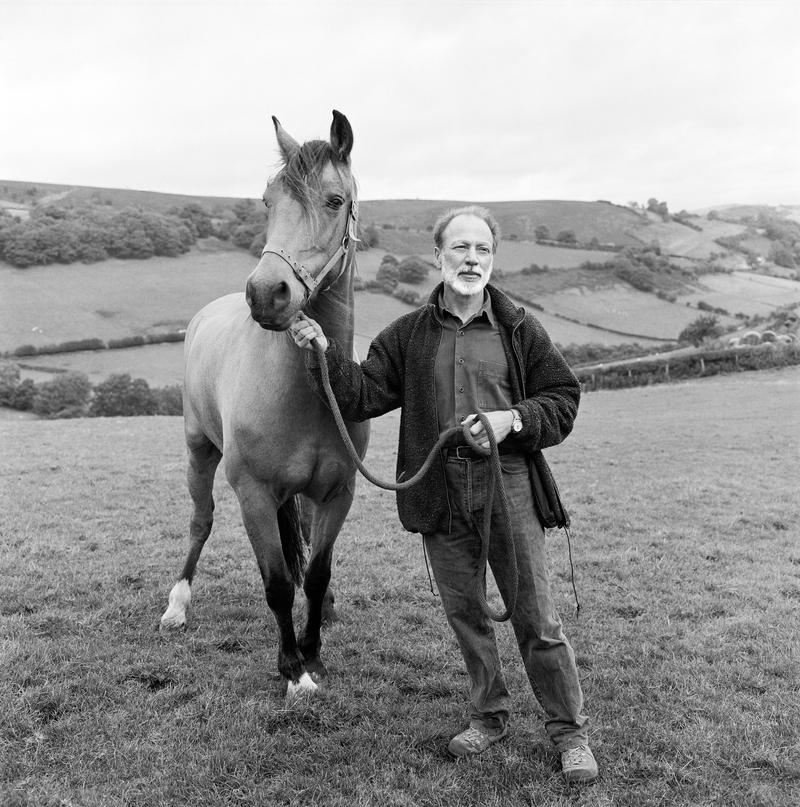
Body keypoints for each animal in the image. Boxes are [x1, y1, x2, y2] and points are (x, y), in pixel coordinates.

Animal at [160, 112, 372, 700]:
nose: (265, 293)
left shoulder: (338, 493)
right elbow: (277, 583)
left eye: (334, 201)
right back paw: (177, 604)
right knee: (200, 521)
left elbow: (316, 573)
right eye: (266, 201)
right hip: (198, 451)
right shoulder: (253, 493)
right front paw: (294, 669)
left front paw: (315, 651)